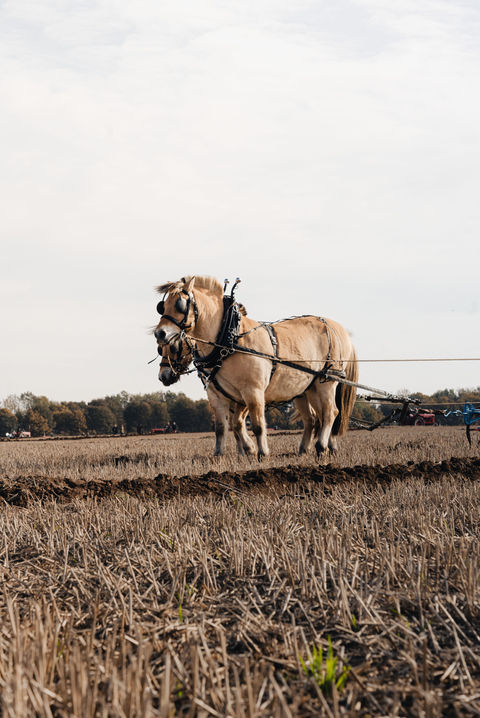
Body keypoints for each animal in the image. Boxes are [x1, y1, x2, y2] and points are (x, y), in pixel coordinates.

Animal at [154, 276, 358, 459]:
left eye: (180, 304)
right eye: (162, 306)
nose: (159, 333)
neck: (228, 340)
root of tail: (336, 327)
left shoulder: (252, 391)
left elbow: (257, 424)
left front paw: (260, 452)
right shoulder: (218, 395)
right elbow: (224, 427)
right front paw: (222, 454)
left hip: (327, 381)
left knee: (331, 413)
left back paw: (322, 447)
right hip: (307, 388)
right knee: (315, 418)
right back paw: (313, 449)